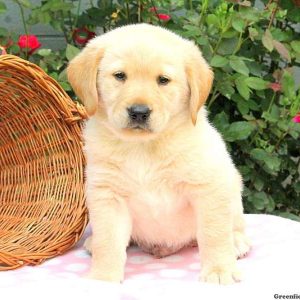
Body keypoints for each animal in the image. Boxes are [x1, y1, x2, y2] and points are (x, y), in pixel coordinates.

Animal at [68, 23, 251, 284]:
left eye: (163, 80)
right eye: (120, 76)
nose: (139, 112)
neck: (144, 147)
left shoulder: (208, 188)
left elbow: (214, 234)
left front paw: (219, 270)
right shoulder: (107, 195)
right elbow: (108, 241)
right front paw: (103, 278)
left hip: (232, 188)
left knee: (234, 225)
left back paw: (236, 242)